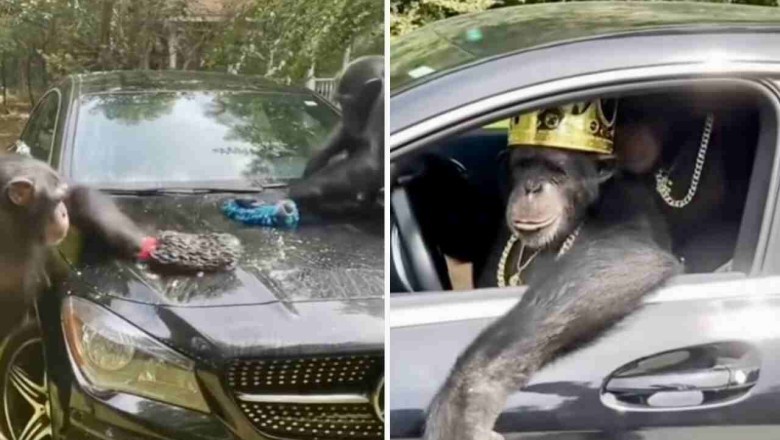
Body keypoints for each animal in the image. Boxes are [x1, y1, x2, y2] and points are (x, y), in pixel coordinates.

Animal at [288, 56, 384, 209]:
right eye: (341, 103)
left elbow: (373, 162)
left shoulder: (382, 103)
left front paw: (304, 188)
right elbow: (347, 135)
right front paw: (317, 159)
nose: (347, 115)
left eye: (346, 102)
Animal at [424, 101, 682, 440]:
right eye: (524, 165)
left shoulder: (629, 201)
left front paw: (468, 396)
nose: (532, 187)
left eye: (556, 170)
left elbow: (630, 255)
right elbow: (458, 233)